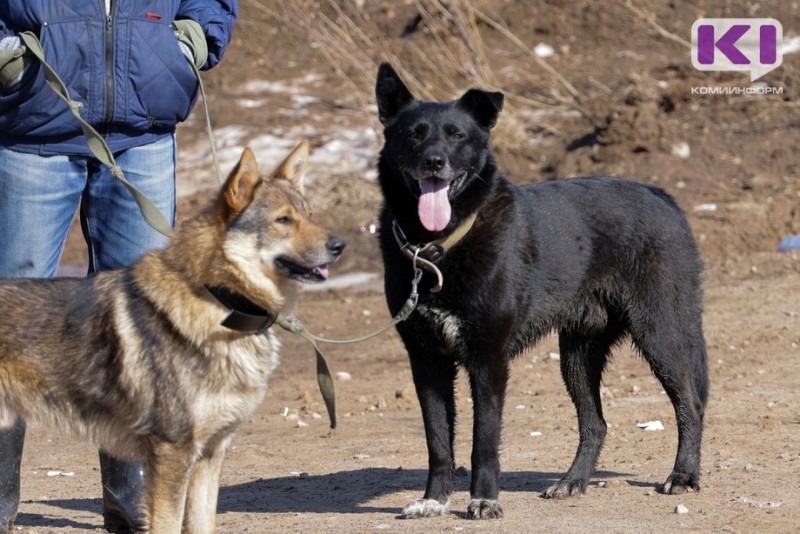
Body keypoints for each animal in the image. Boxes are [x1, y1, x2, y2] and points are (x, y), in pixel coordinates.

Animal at [374, 61, 708, 520]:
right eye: (414, 134)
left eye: (457, 135)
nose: (434, 162)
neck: (438, 249)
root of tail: (664, 198)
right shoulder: (426, 363)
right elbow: (438, 441)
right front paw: (434, 500)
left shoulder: (488, 361)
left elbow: (483, 441)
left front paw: (484, 499)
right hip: (577, 357)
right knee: (595, 423)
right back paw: (572, 482)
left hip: (660, 334)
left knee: (690, 404)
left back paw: (683, 476)